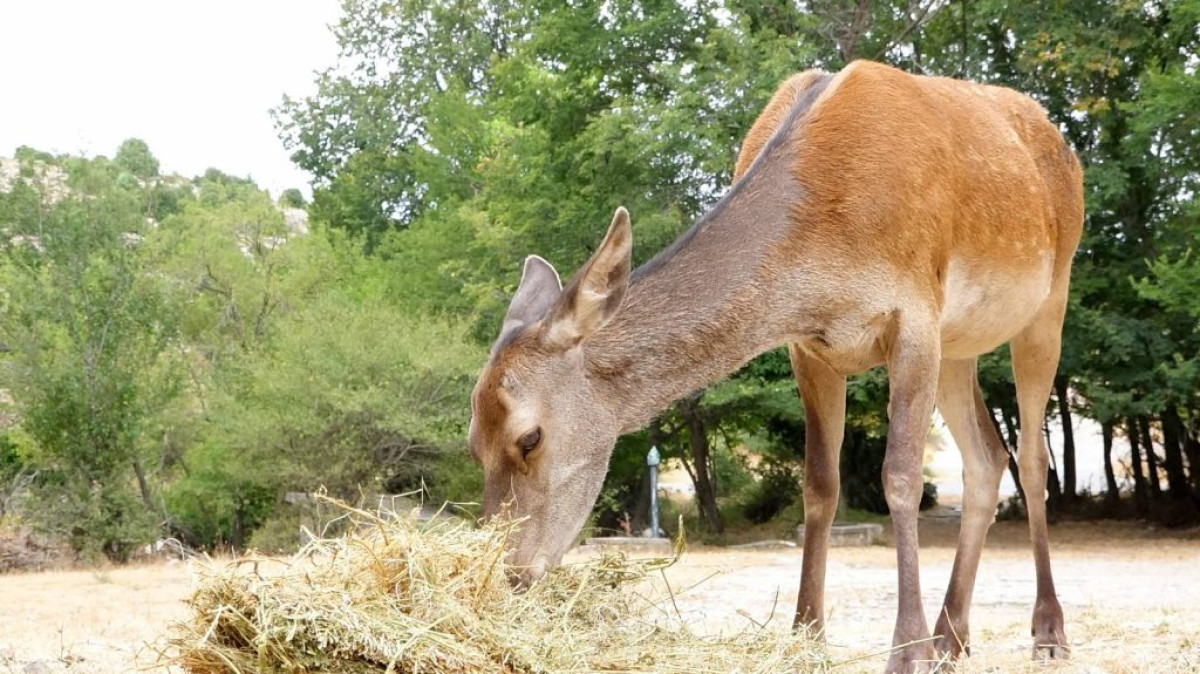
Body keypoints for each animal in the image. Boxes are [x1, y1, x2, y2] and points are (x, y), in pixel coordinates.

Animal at [470, 60, 1089, 666]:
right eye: (474, 443)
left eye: (530, 437)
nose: (509, 577)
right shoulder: (809, 345)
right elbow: (818, 483)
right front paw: (807, 633)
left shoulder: (914, 312)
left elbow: (901, 476)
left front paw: (905, 649)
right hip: (957, 344)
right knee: (987, 455)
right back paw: (951, 637)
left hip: (1048, 298)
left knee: (1032, 457)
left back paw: (1045, 630)